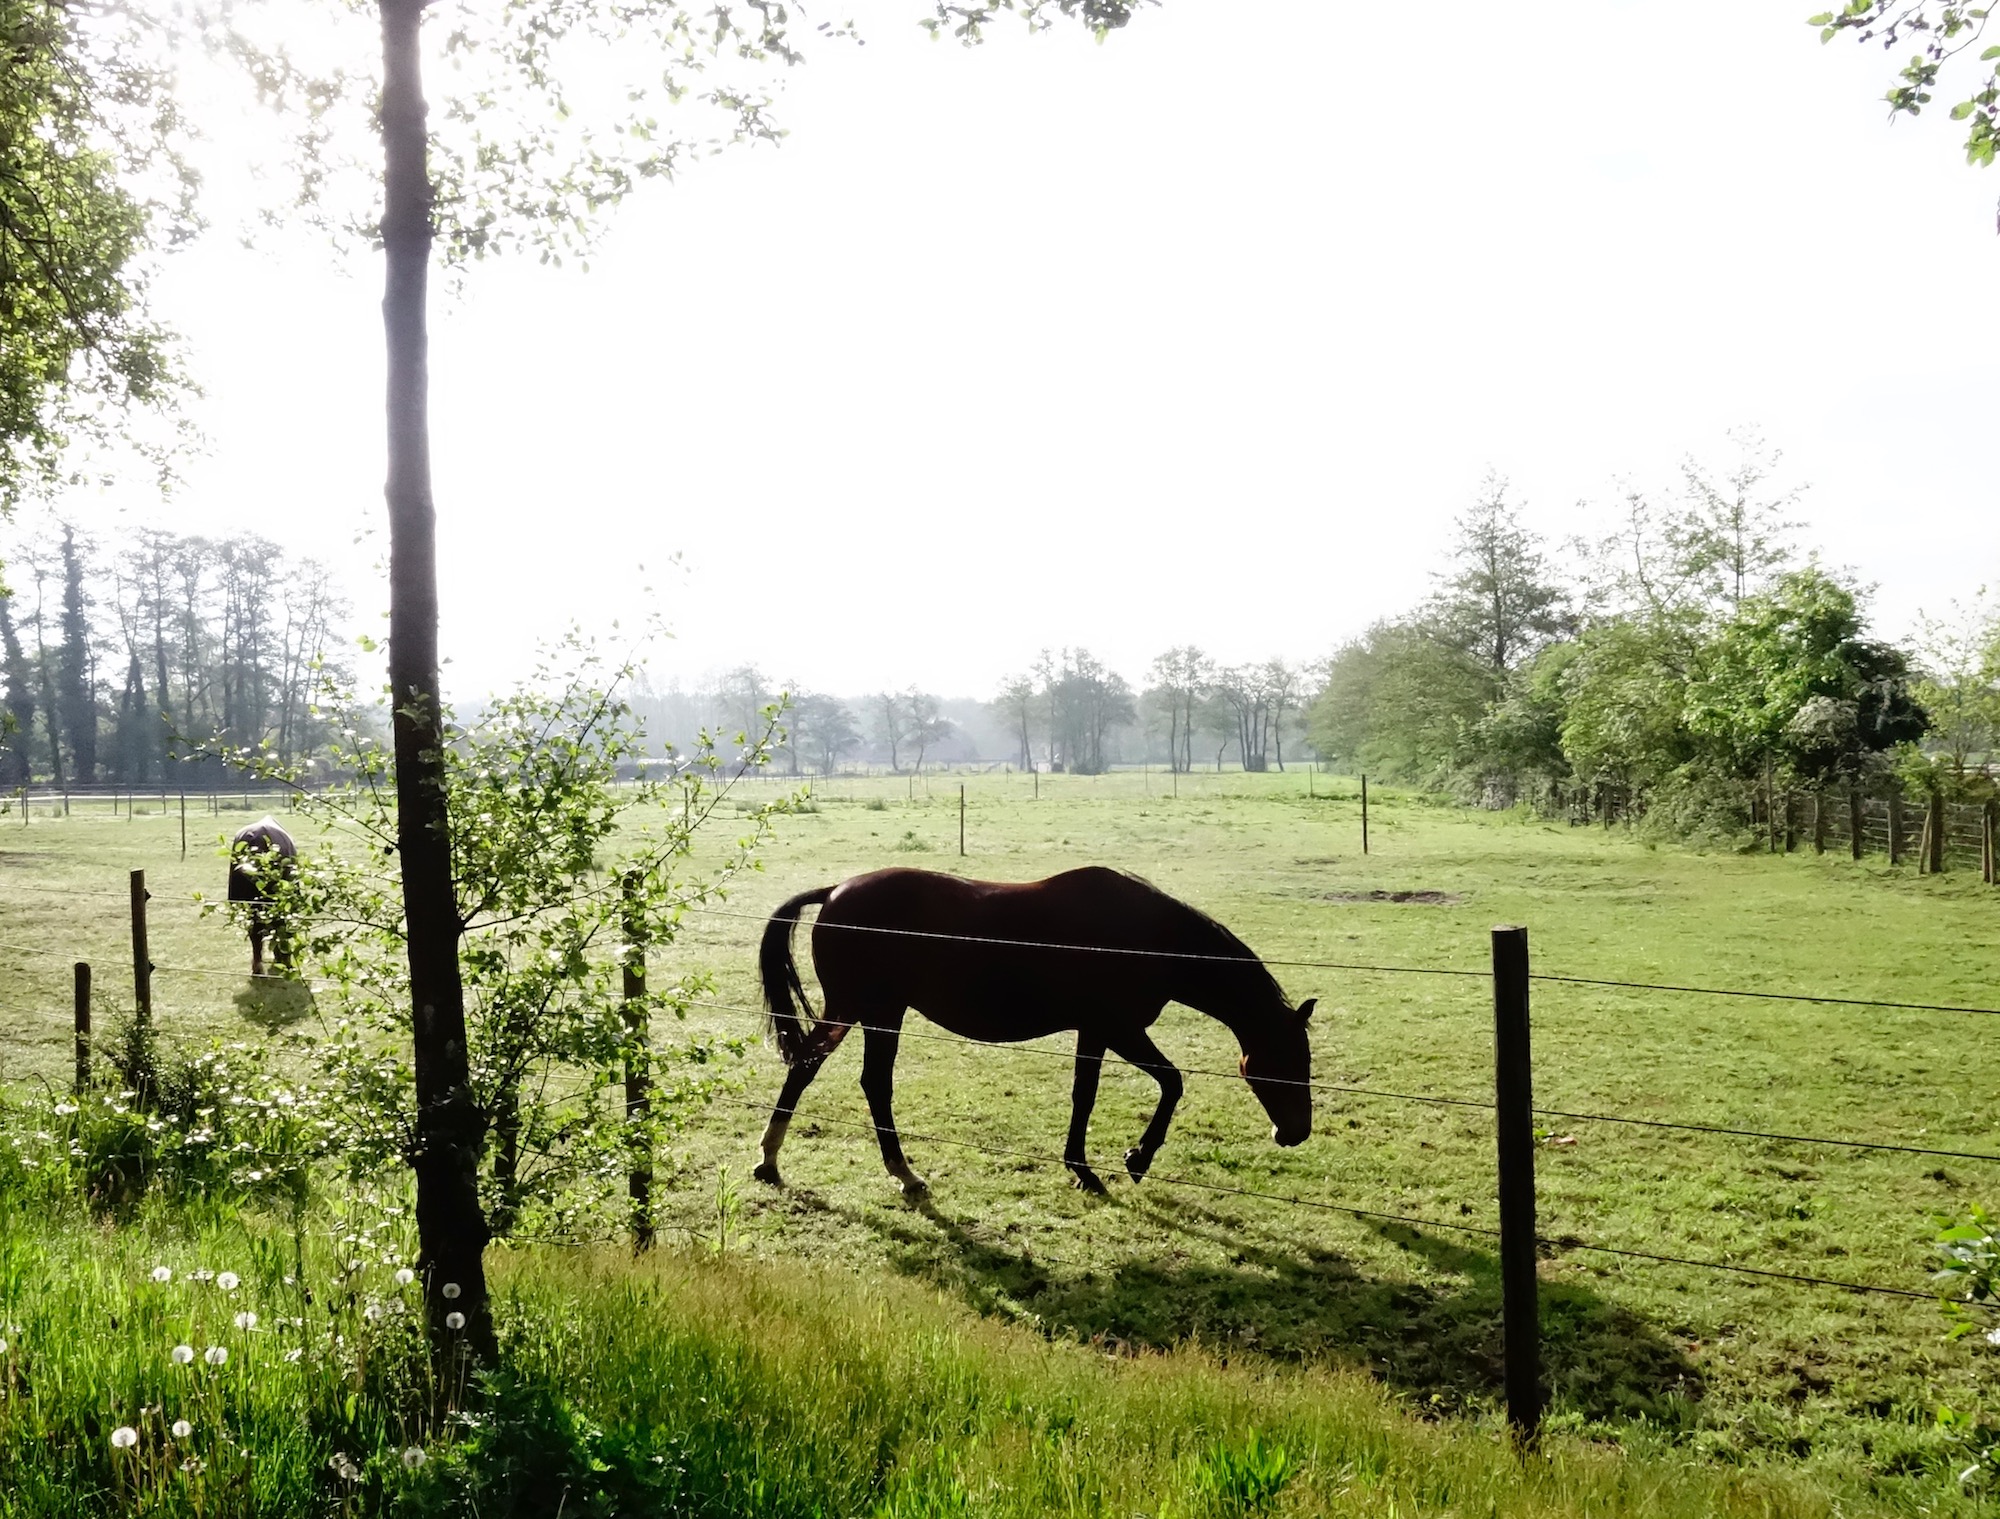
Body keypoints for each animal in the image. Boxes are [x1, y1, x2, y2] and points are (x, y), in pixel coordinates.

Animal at [753, 865, 1315, 1198]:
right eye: (1287, 1064)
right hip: (869, 1010)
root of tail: (835, 892)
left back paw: (782, 1163)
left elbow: (1084, 1095)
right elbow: (1172, 1081)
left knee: (832, 1074)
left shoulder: (1096, 1030)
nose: (1295, 1133)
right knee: (843, 1077)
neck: (1150, 937)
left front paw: (1082, 1167)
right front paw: (1136, 1158)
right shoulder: (1120, 1027)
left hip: (867, 1012)